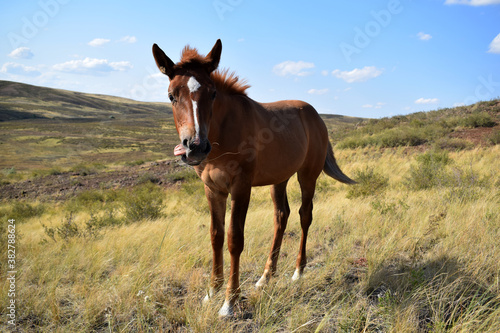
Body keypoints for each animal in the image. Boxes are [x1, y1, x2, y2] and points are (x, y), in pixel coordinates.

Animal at [152, 39, 356, 316]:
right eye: (171, 96)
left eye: (213, 93)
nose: (195, 147)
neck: (223, 134)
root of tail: (315, 116)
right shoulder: (212, 189)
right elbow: (216, 236)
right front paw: (212, 291)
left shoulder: (241, 187)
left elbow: (234, 239)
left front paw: (230, 301)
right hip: (279, 179)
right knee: (281, 217)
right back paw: (266, 276)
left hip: (307, 176)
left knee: (305, 216)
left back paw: (298, 271)